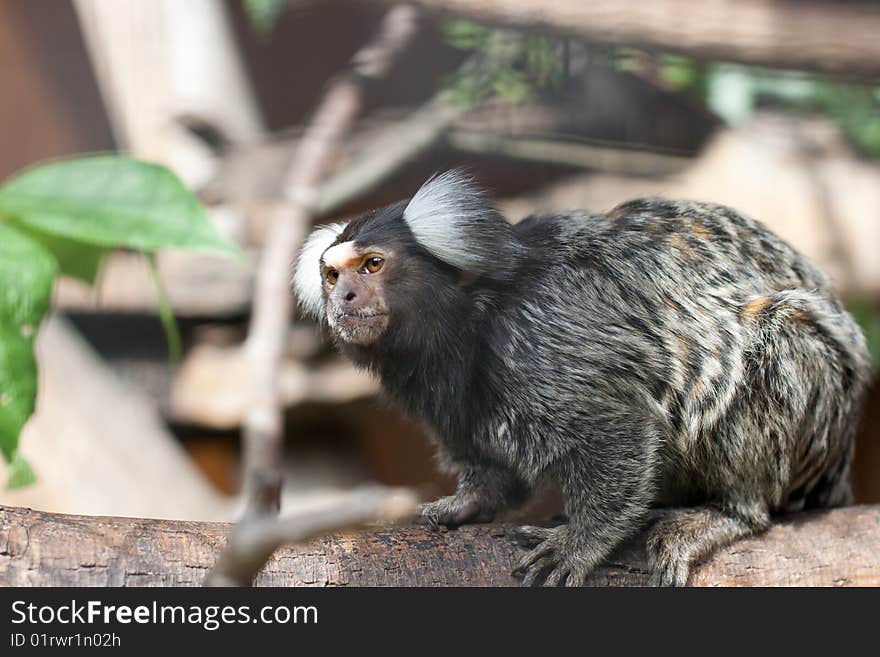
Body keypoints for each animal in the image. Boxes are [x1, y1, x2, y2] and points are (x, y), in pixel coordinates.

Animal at [292, 169, 868, 584]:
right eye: (332, 274)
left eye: (372, 265)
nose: (344, 297)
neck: (471, 319)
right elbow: (492, 469)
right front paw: (469, 501)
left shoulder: (543, 339)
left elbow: (620, 434)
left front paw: (581, 542)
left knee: (770, 343)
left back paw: (728, 512)